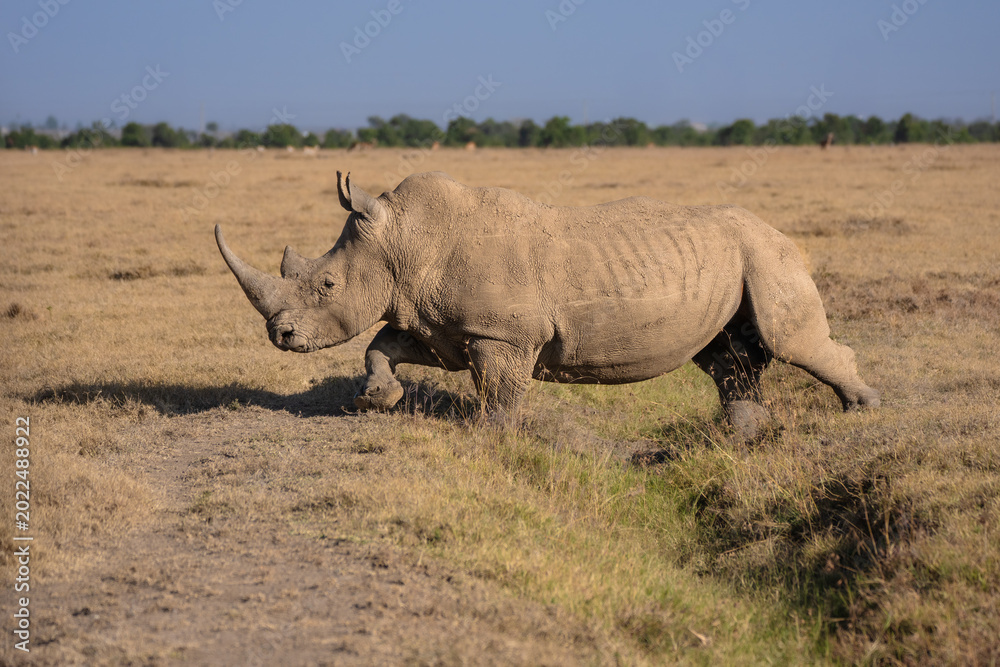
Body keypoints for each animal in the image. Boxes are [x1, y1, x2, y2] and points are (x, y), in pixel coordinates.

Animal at [216, 171, 879, 436]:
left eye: (328, 286)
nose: (281, 336)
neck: (404, 240)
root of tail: (780, 232)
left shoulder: (501, 333)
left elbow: (500, 390)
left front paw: (493, 436)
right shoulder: (440, 324)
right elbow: (383, 344)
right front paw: (377, 399)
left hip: (766, 255)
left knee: (788, 342)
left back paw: (863, 411)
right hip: (737, 258)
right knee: (728, 356)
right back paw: (740, 435)